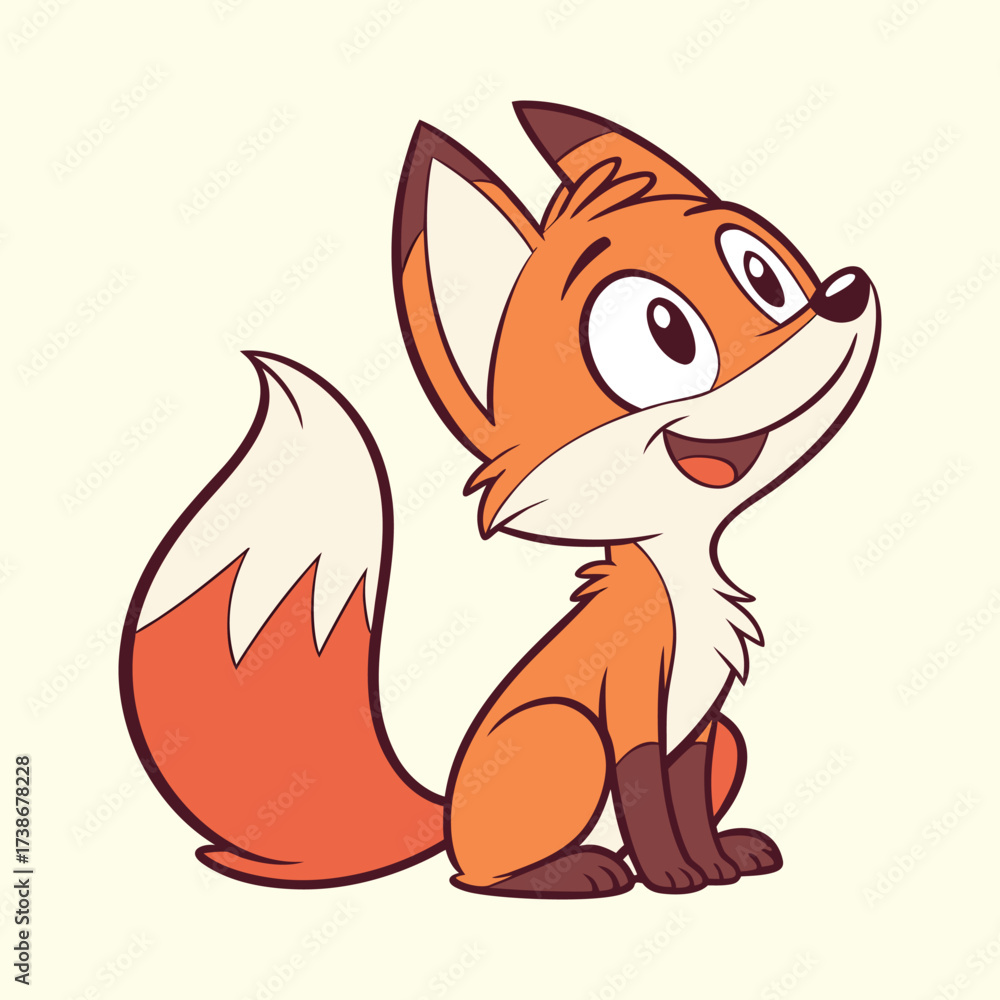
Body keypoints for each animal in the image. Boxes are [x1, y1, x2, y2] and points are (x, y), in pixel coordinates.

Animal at [119, 102, 880, 898]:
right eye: (666, 331)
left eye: (763, 275)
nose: (843, 296)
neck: (679, 574)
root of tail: (448, 812)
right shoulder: (630, 707)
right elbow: (647, 799)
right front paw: (673, 875)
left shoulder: (701, 726)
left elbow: (687, 799)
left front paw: (713, 864)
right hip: (566, 734)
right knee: (479, 876)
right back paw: (575, 871)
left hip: (719, 738)